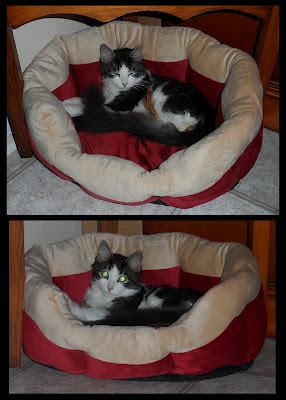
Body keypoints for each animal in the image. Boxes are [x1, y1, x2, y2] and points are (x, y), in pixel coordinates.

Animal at [62, 43, 214, 147]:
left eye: (131, 73)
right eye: (116, 73)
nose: (124, 83)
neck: (116, 91)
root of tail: (208, 118)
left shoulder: (120, 105)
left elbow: (91, 107)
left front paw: (68, 108)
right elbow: (82, 100)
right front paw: (65, 102)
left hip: (166, 104)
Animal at [63, 239, 201, 326]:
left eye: (122, 279)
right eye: (105, 274)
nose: (109, 287)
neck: (103, 297)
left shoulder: (119, 309)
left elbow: (94, 312)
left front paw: (70, 304)